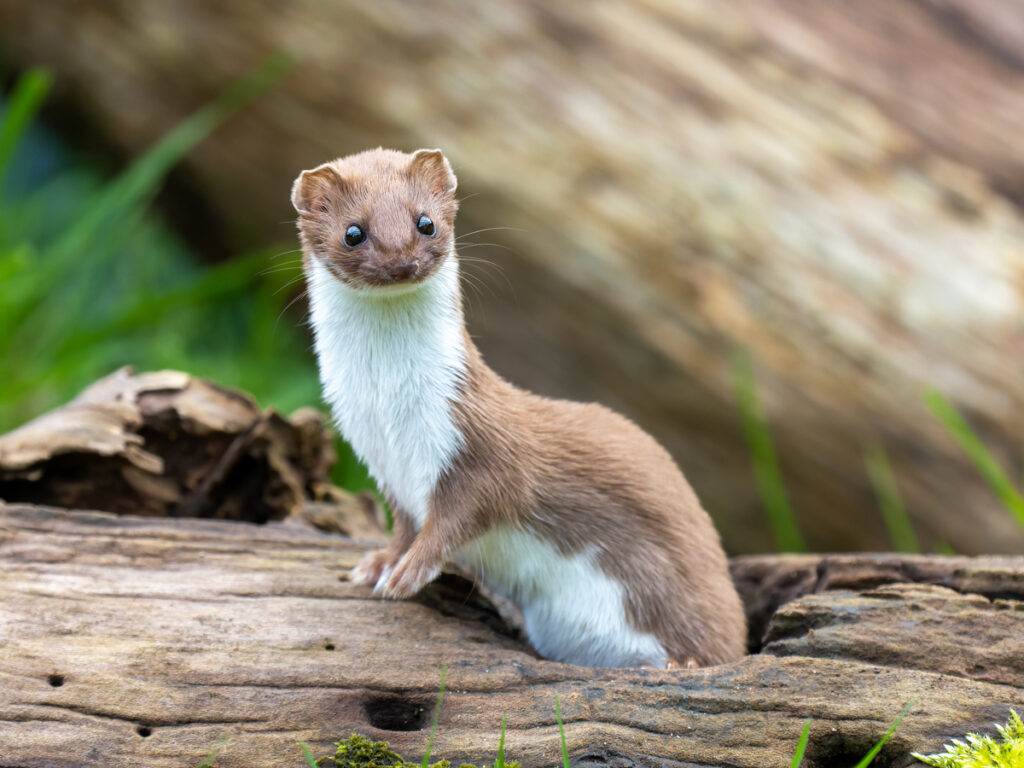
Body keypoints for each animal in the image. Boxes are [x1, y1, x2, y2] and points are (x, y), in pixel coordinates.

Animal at [292, 147, 749, 671]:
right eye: (354, 232)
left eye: (425, 222)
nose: (401, 262)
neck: (388, 413)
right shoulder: (383, 464)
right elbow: (405, 523)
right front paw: (380, 563)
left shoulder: (477, 444)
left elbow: (465, 513)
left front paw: (408, 572)